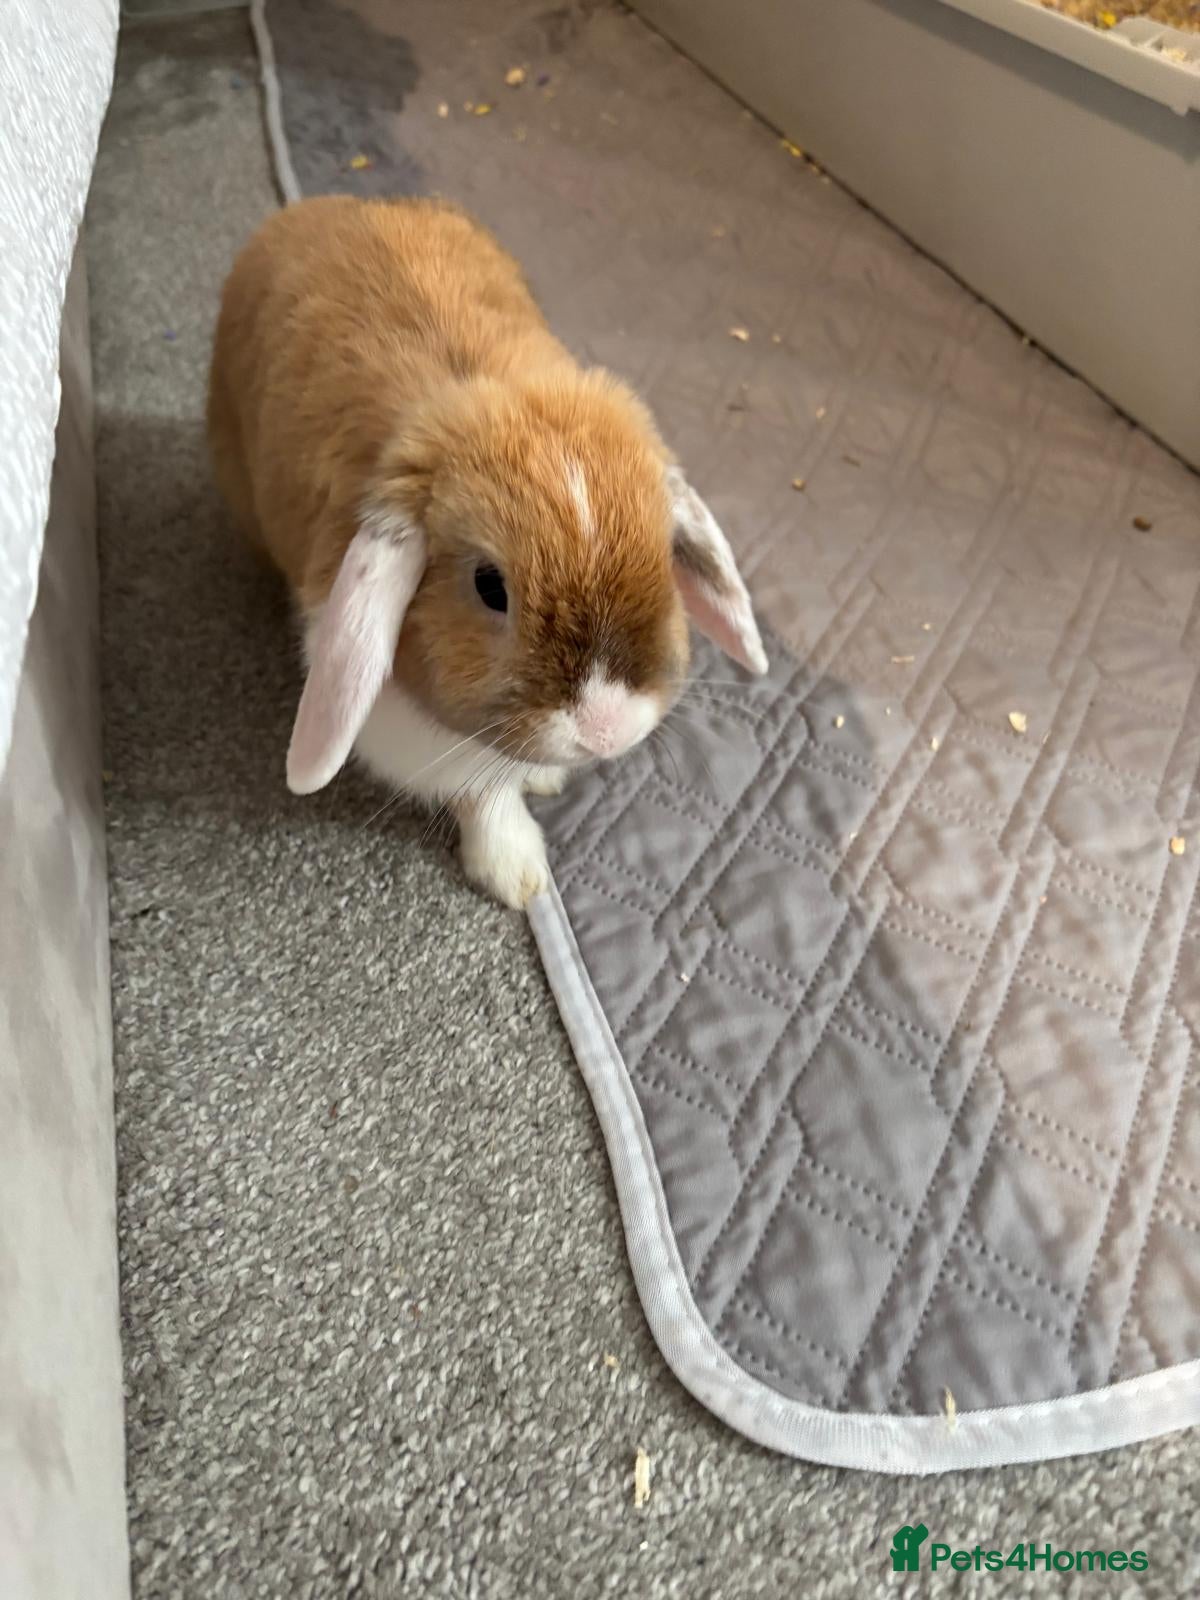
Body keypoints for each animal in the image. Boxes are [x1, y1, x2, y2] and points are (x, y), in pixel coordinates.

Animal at [207, 195, 766, 909]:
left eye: (663, 560)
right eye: (490, 587)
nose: (605, 728)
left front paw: (544, 781)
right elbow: (484, 792)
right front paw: (519, 875)